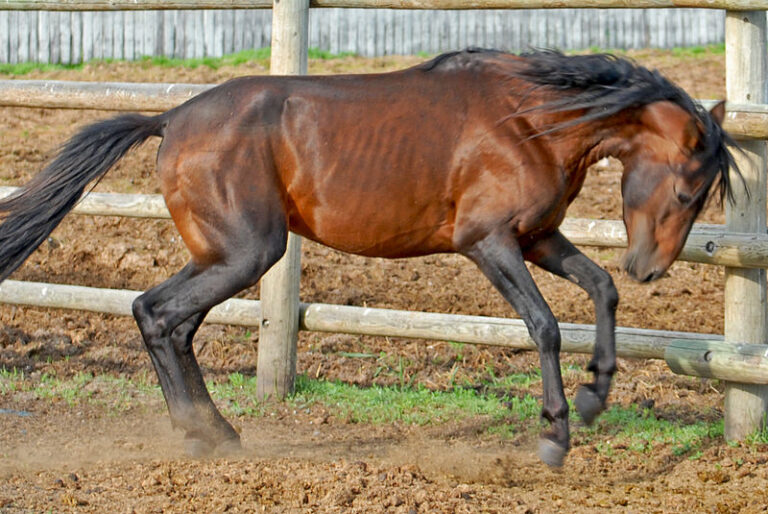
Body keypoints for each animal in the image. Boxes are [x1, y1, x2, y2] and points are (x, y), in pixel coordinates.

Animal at [0, 49, 739, 467]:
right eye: (686, 190)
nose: (651, 269)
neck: (531, 121)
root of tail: (171, 119)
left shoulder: (537, 237)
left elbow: (600, 289)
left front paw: (592, 398)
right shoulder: (489, 242)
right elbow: (545, 325)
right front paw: (556, 434)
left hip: (223, 254)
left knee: (165, 318)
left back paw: (214, 433)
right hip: (247, 252)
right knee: (158, 314)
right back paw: (204, 432)